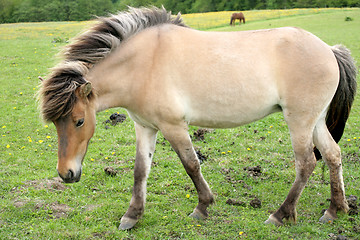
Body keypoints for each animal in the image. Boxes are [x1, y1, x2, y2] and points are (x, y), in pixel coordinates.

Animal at [38, 6, 358, 230]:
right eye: (55, 123)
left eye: (79, 121)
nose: (66, 174)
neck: (143, 64)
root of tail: (329, 49)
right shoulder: (145, 126)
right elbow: (140, 170)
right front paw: (132, 216)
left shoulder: (173, 126)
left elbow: (191, 164)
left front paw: (203, 207)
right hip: (315, 121)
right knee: (332, 155)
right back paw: (335, 210)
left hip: (299, 121)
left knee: (306, 163)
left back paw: (281, 215)